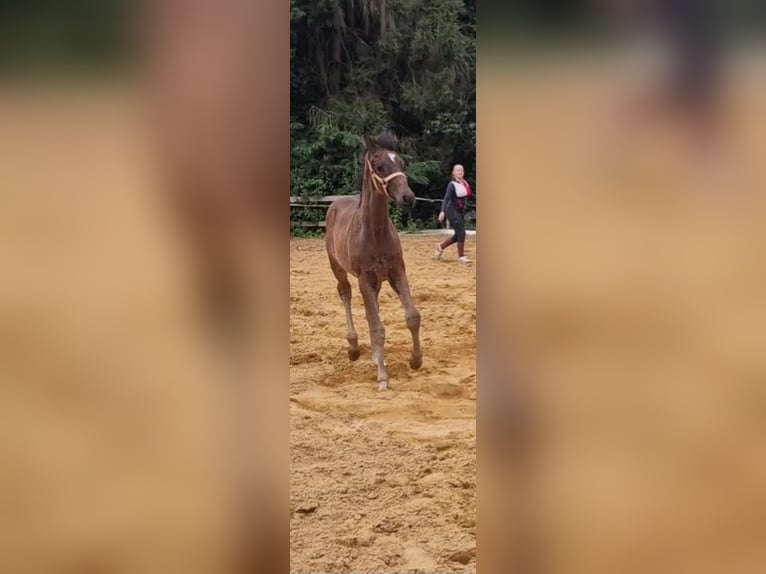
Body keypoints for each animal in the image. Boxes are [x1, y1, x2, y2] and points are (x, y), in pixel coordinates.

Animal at [325, 130, 422, 391]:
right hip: (339, 268)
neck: (375, 232)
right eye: (380, 166)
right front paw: (382, 378)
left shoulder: (397, 270)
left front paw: (415, 360)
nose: (408, 197)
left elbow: (412, 316)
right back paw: (354, 347)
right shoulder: (364, 277)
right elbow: (377, 327)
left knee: (372, 309)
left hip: (377, 280)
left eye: (401, 163)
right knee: (345, 293)